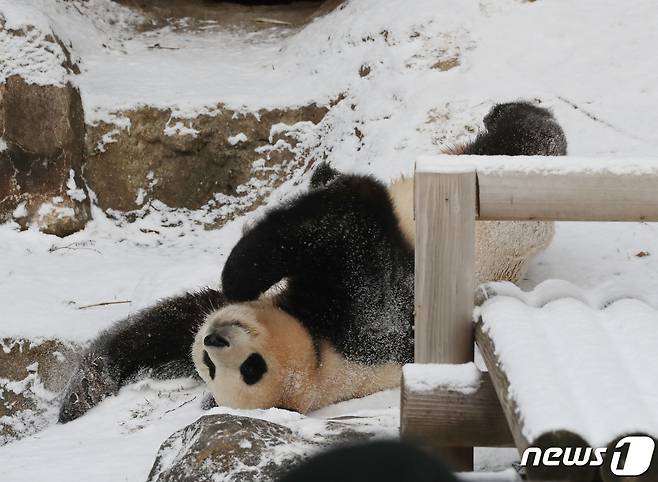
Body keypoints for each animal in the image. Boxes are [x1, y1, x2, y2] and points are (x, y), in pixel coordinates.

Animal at [59, 101, 568, 422]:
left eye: (251, 368)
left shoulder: (366, 315)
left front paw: (238, 270)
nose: (216, 339)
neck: (321, 356)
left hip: (503, 198)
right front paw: (85, 392)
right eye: (208, 364)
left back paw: (509, 112)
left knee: (527, 136)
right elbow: (165, 328)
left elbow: (343, 218)